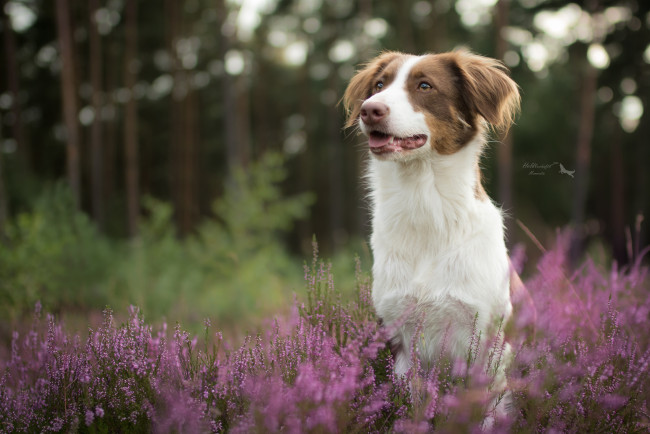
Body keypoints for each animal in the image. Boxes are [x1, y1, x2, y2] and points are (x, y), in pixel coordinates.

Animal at [342, 50, 524, 410]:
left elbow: (487, 408)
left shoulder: (490, 338)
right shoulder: (399, 336)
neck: (425, 207)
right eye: (379, 85)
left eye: (425, 86)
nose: (370, 109)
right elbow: (411, 405)